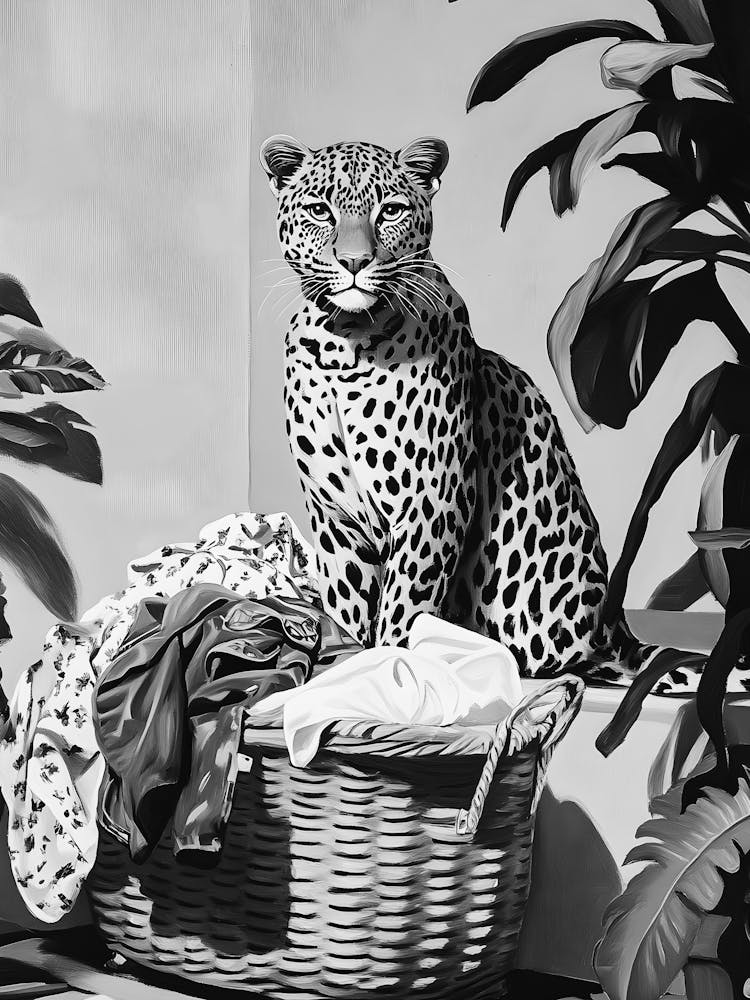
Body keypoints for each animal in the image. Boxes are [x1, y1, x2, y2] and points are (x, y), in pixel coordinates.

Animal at [259, 133, 706, 717]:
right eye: (319, 211)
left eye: (390, 212)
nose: (354, 261)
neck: (345, 344)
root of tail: (612, 634)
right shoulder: (335, 516)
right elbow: (349, 602)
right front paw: (345, 668)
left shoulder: (432, 499)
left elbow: (403, 605)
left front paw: (383, 677)